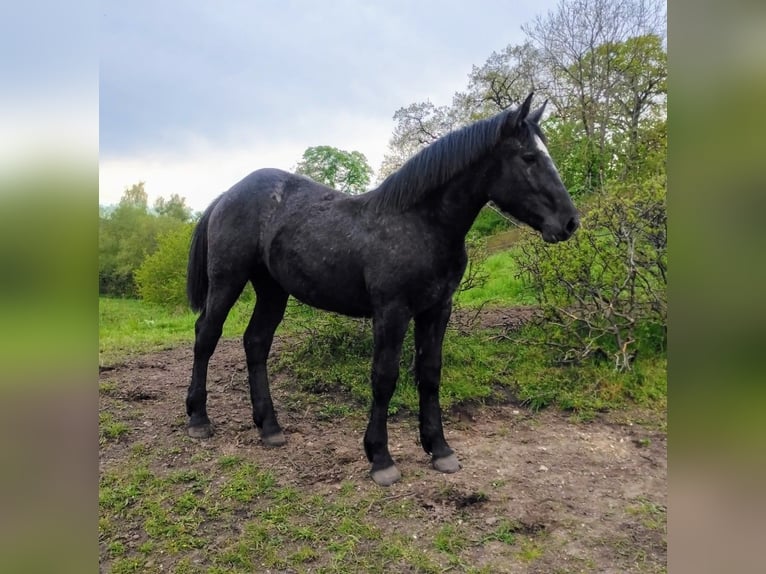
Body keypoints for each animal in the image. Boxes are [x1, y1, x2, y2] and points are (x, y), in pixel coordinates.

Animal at [188, 93, 584, 486]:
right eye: (529, 157)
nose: (569, 222)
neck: (421, 223)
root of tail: (226, 195)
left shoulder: (437, 308)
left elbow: (430, 373)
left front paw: (440, 449)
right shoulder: (392, 311)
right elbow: (384, 376)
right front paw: (380, 458)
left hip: (272, 290)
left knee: (256, 343)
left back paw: (269, 427)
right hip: (227, 280)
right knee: (206, 335)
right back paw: (198, 419)